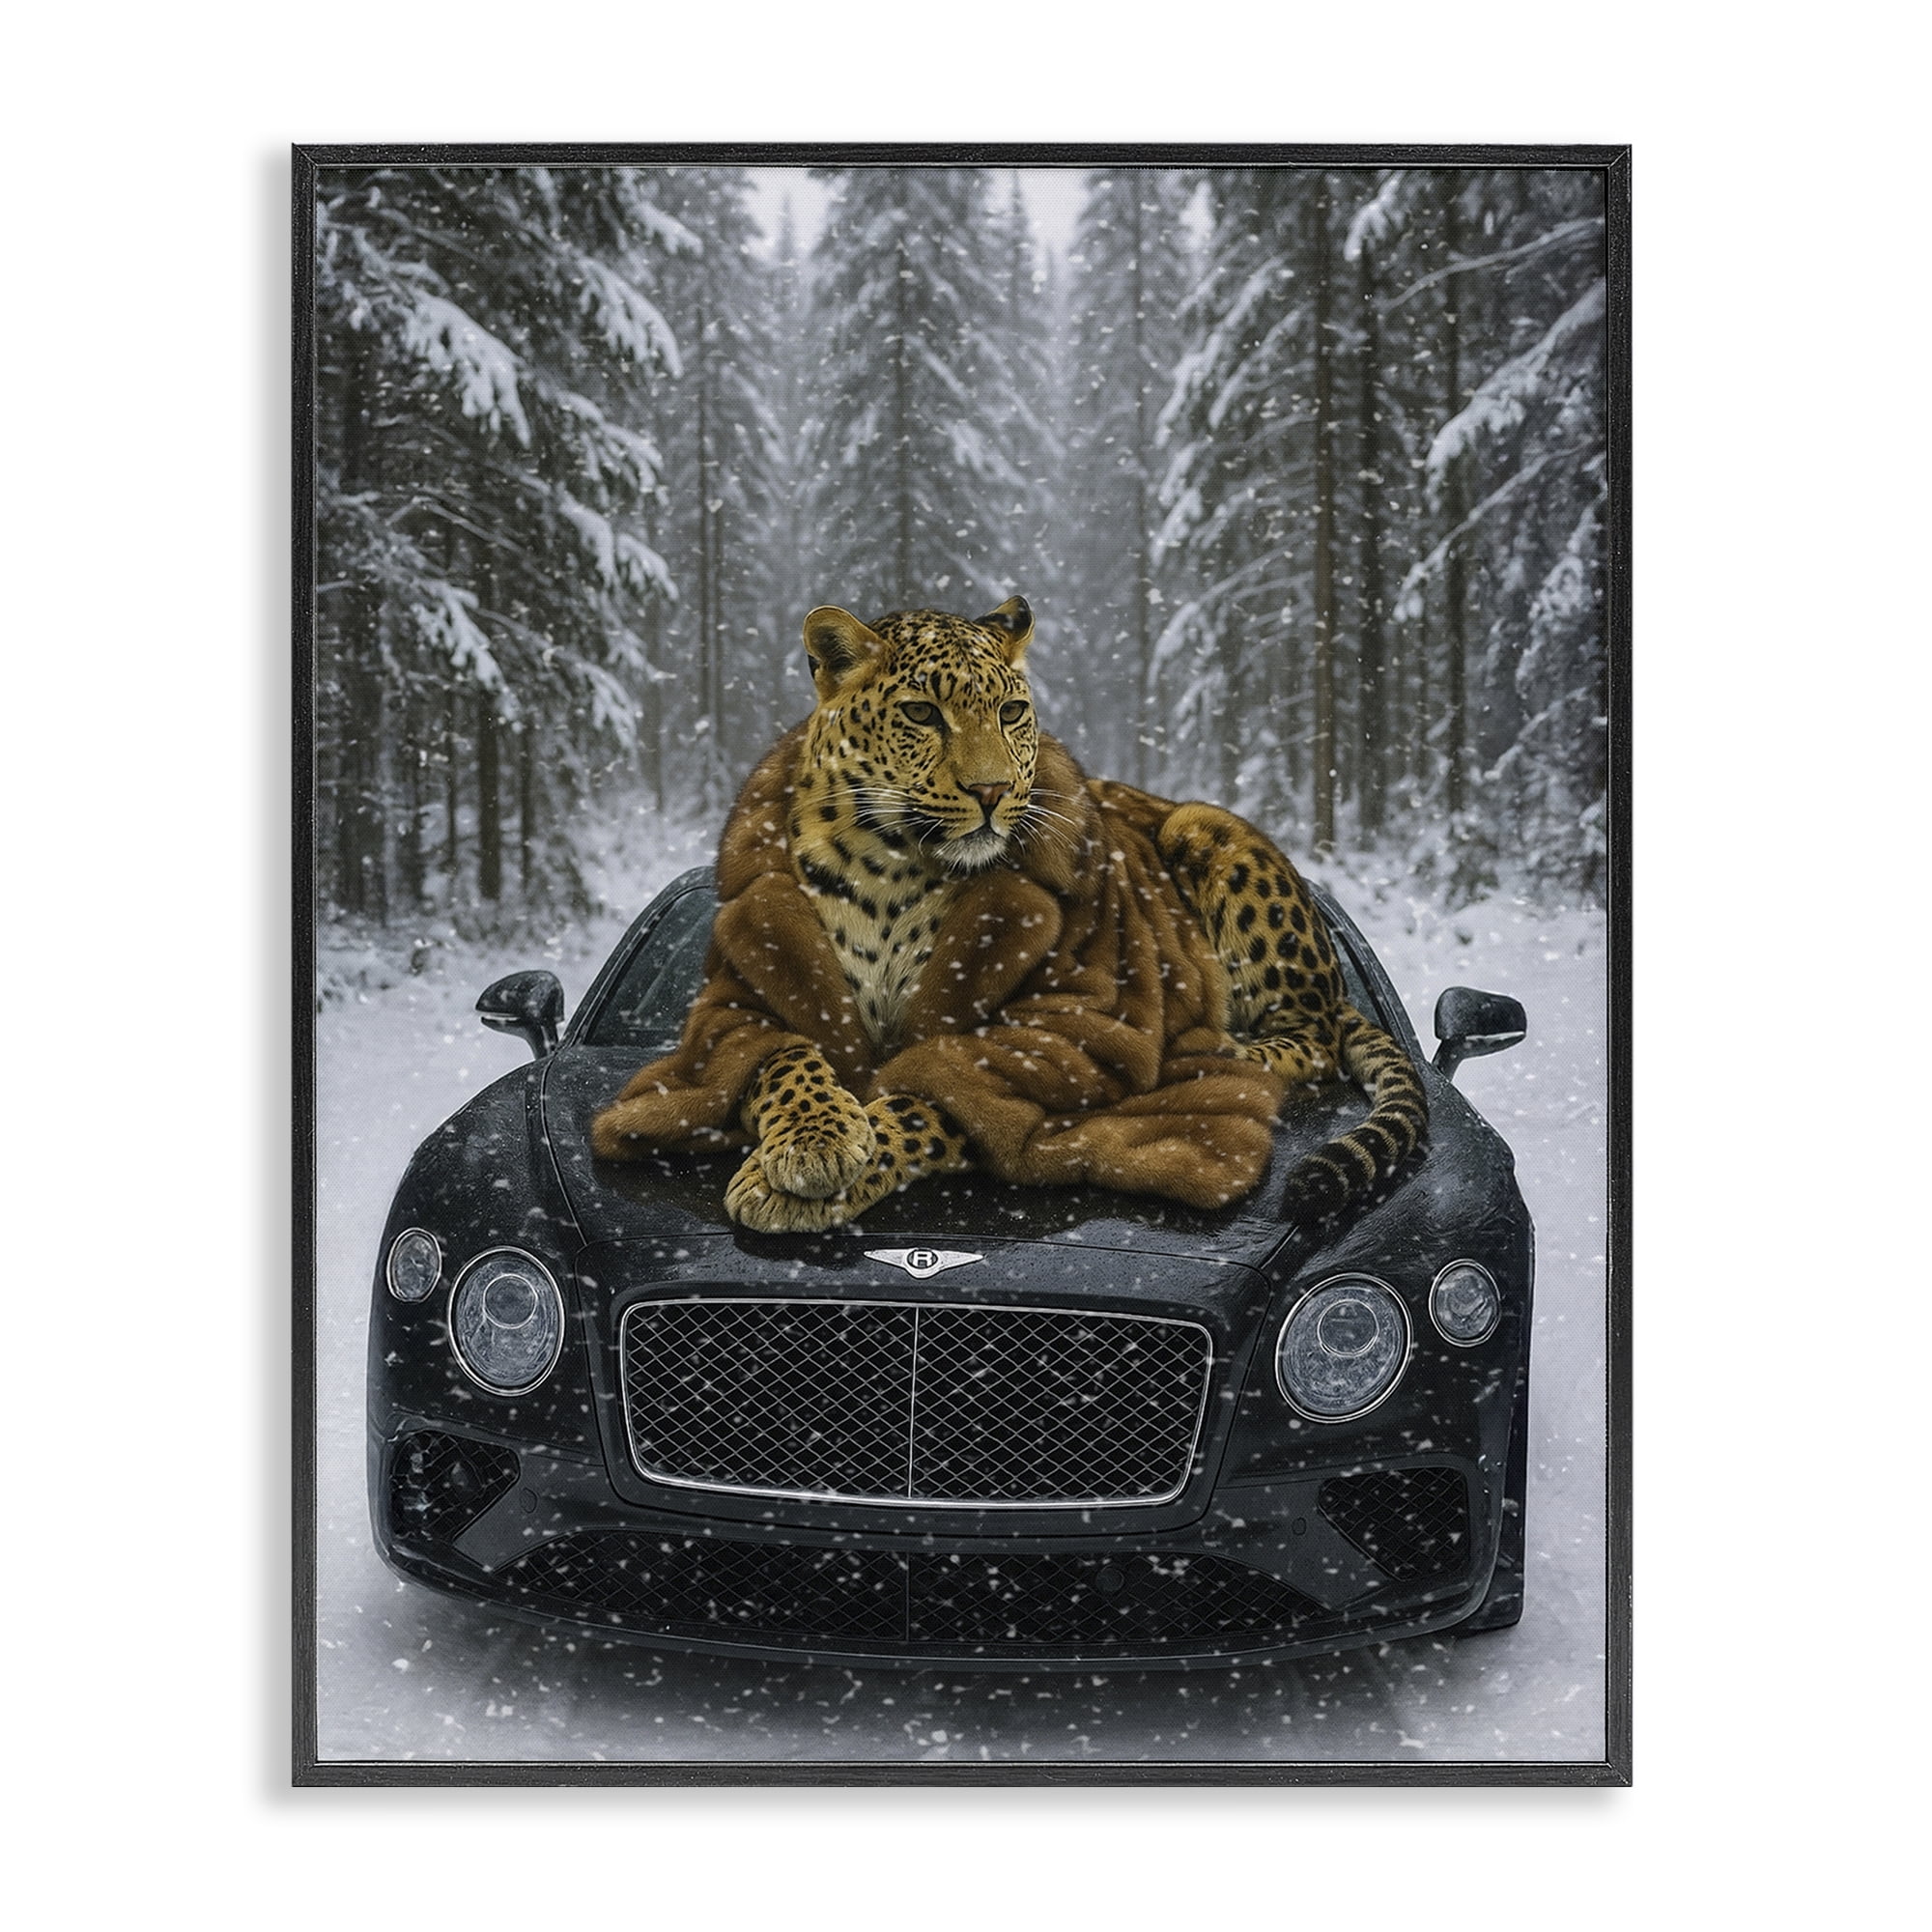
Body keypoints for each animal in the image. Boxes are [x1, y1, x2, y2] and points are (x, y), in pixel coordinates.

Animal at [592, 595, 1428, 1234]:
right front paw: (815, 1140)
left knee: (1310, 1037)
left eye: (1012, 711)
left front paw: (788, 1180)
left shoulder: (1056, 1033)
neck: (889, 864)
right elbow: (783, 1060)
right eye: (922, 713)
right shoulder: (736, 1008)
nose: (993, 791)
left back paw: (1218, 1050)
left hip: (1211, 837)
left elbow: (923, 1105)